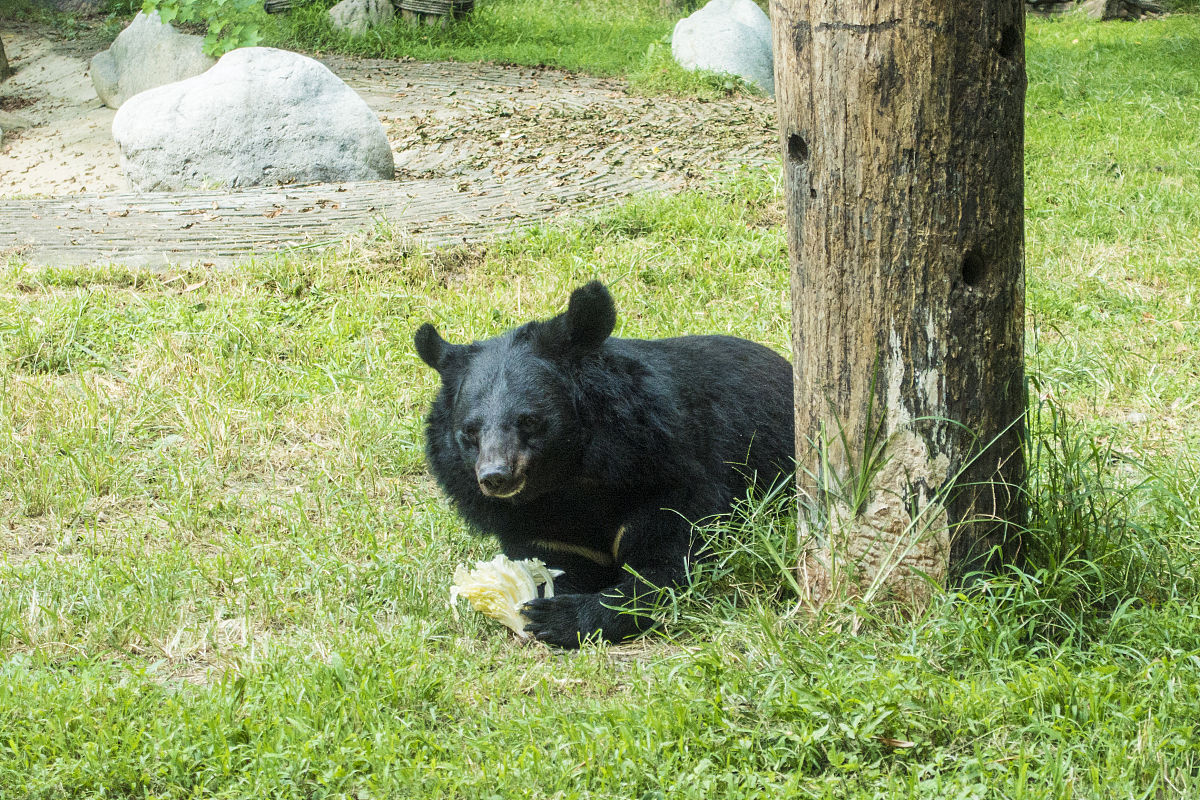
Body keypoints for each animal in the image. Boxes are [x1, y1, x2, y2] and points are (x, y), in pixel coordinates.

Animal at [415, 280, 796, 642]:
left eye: (530, 421)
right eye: (469, 431)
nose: (495, 476)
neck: (566, 480)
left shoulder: (668, 476)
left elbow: (668, 564)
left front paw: (557, 618)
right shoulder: (537, 527)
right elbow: (556, 566)